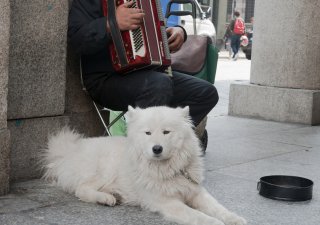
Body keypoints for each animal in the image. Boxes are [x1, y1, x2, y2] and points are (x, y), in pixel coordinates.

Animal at [42, 106, 248, 225]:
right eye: (148, 133)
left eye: (166, 132)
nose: (157, 149)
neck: (169, 169)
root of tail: (68, 151)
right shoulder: (166, 201)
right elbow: (196, 215)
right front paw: (215, 222)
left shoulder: (196, 191)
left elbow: (218, 208)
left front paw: (234, 218)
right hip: (105, 169)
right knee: (81, 189)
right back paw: (105, 198)